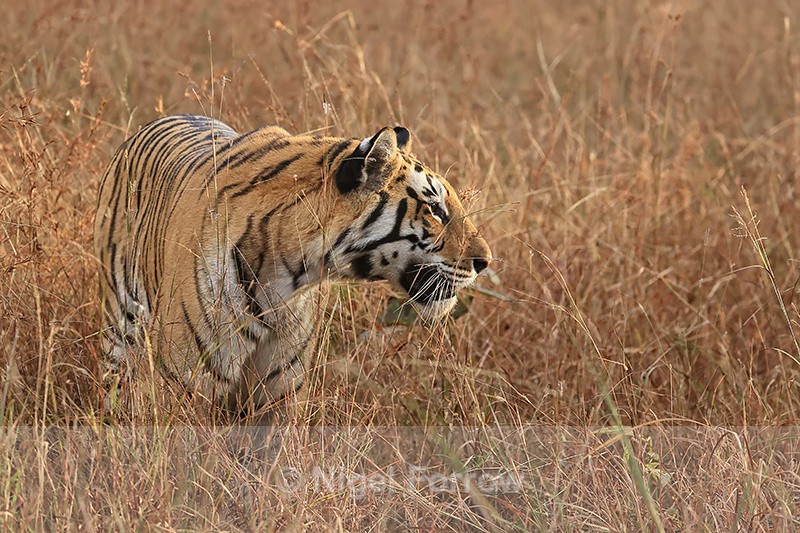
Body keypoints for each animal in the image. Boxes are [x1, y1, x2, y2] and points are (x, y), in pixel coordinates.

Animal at [94, 114, 492, 415]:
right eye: (435, 209)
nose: (484, 261)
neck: (292, 275)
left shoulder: (279, 386)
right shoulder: (186, 378)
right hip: (120, 327)